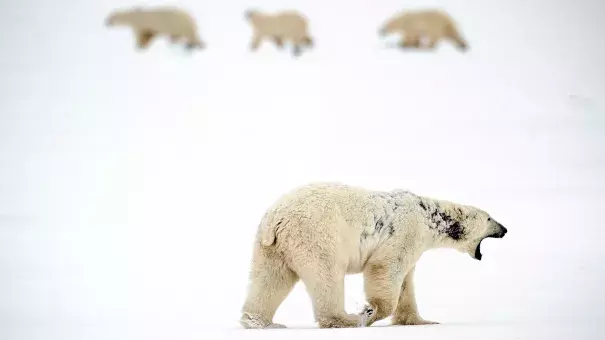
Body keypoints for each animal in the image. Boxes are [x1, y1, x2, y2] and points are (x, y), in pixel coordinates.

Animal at [238, 182, 508, 328]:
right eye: (490, 218)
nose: (505, 229)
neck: (428, 216)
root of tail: (276, 218)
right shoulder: (405, 231)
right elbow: (386, 268)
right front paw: (370, 311)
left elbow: (406, 285)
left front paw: (422, 320)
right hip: (317, 234)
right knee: (326, 275)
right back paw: (346, 318)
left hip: (272, 246)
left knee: (270, 278)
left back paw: (260, 321)